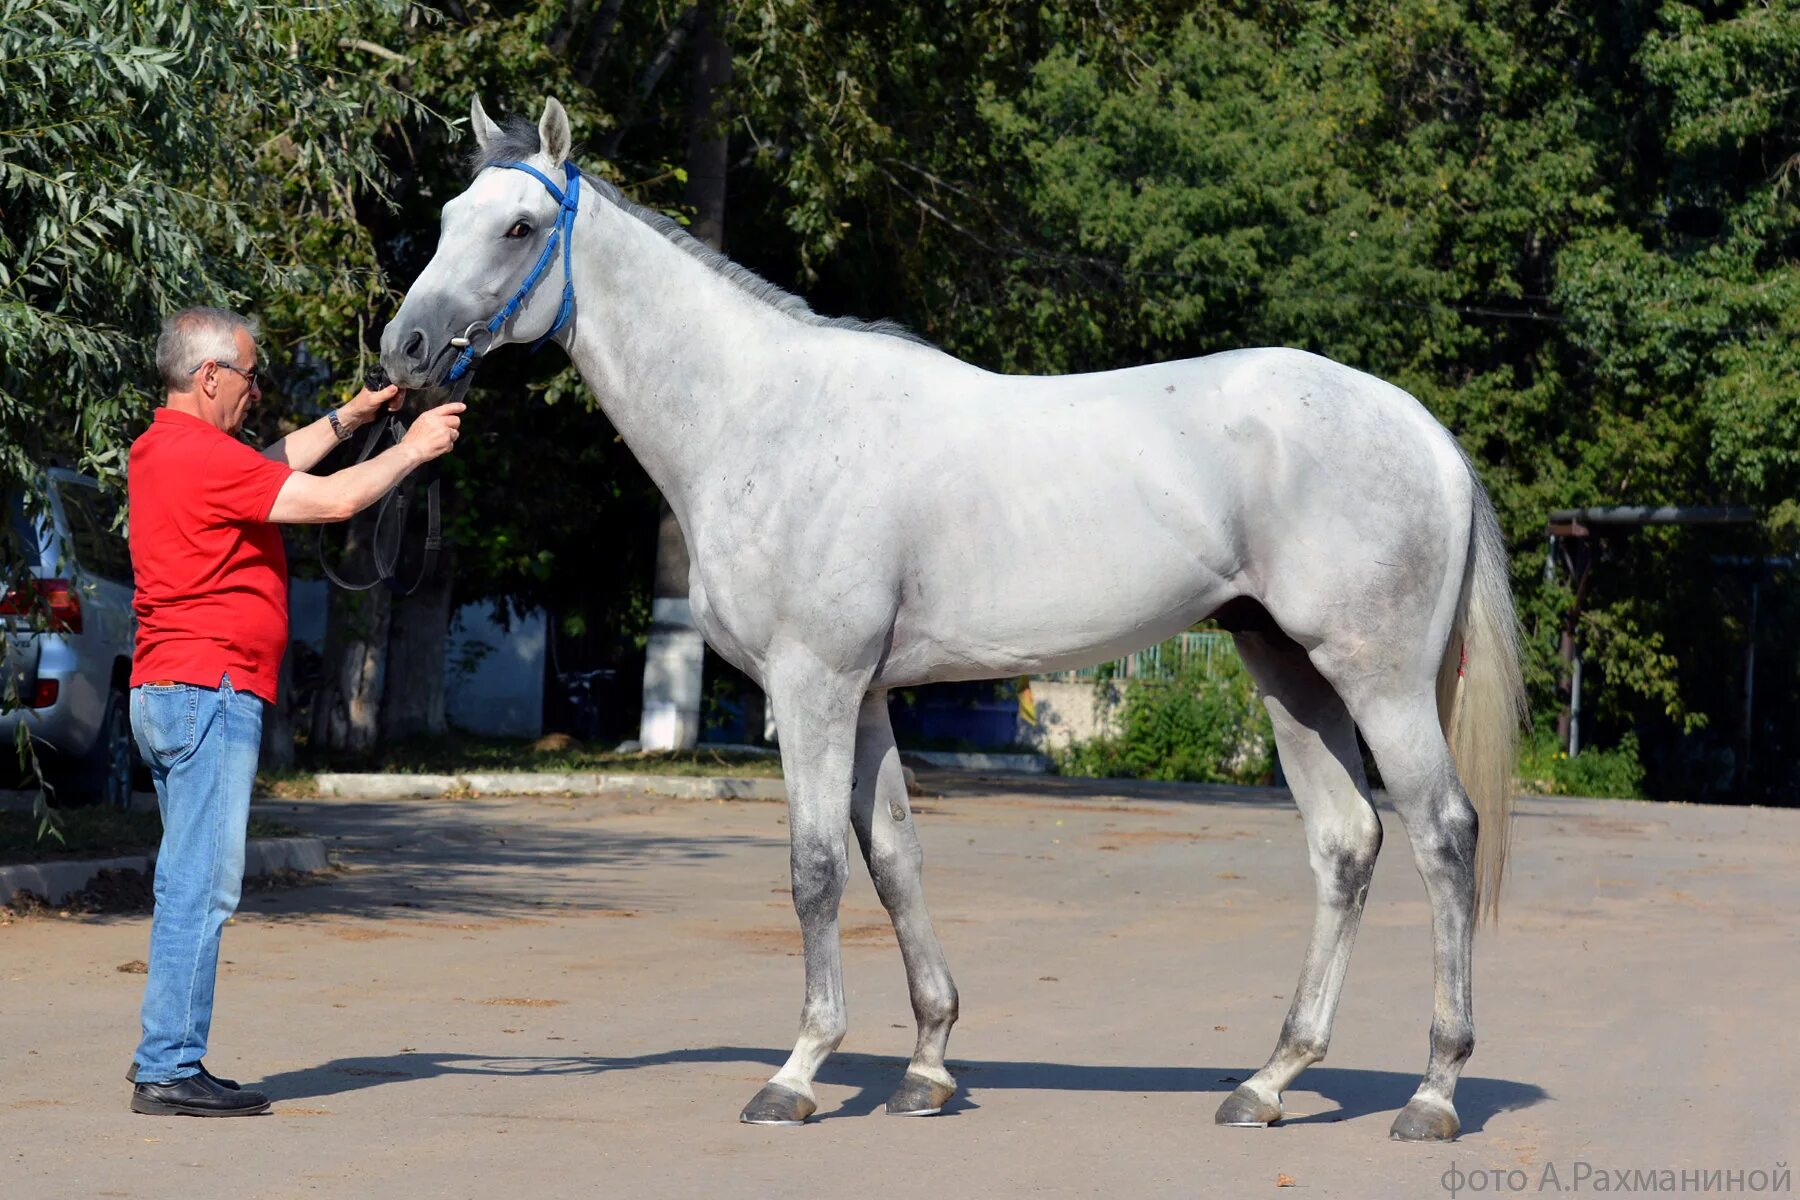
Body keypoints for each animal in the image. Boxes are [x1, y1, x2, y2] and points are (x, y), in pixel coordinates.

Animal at [387, 98, 1526, 1144]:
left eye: (520, 227)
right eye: (447, 215)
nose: (402, 349)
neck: (767, 416)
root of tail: (1423, 431)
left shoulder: (814, 684)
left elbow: (815, 868)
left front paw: (797, 1074)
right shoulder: (867, 695)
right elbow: (894, 858)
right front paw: (928, 1066)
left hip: (1375, 680)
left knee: (1442, 834)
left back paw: (1432, 1092)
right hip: (1288, 671)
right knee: (1346, 843)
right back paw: (1269, 1081)